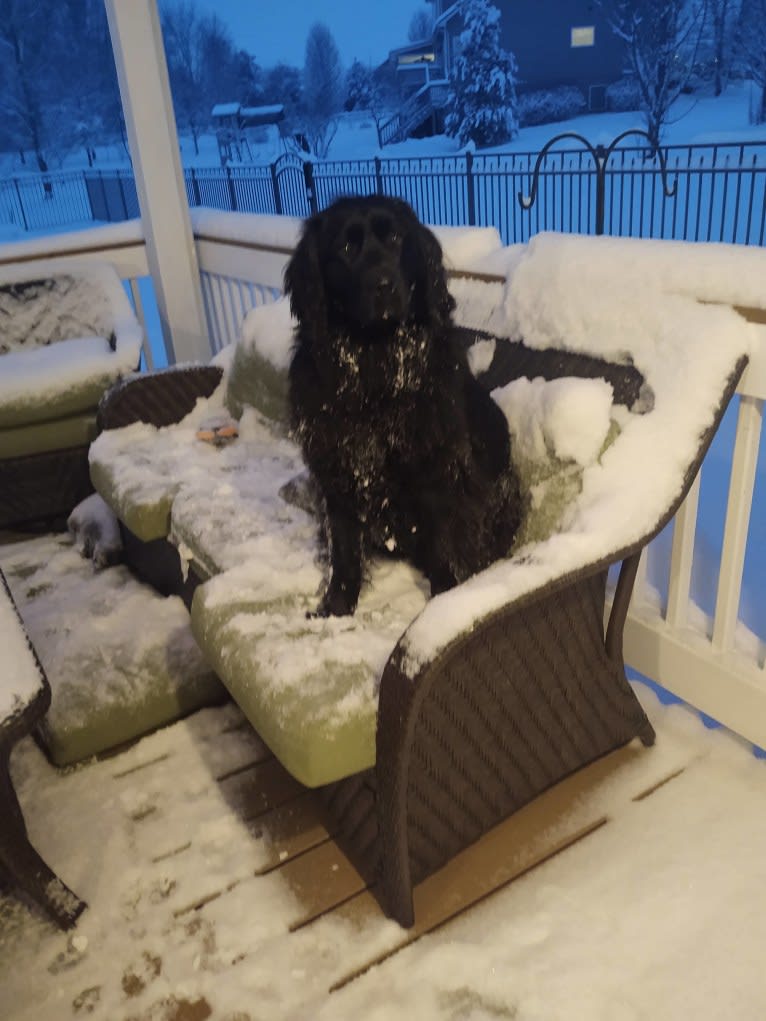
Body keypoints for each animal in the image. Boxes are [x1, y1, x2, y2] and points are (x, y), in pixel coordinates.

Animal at [281, 196, 522, 616]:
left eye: (395, 238)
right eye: (346, 247)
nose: (384, 286)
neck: (375, 366)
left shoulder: (438, 469)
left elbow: (444, 543)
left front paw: (445, 600)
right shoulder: (338, 470)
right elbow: (344, 550)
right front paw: (335, 609)